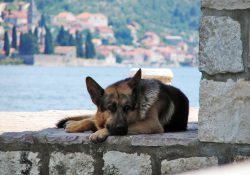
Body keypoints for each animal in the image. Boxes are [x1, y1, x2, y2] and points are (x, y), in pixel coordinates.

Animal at [56, 68, 188, 142]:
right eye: (110, 108)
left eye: (127, 108)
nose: (120, 128)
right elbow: (94, 121)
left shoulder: (151, 123)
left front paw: (99, 133)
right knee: (92, 118)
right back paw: (72, 124)